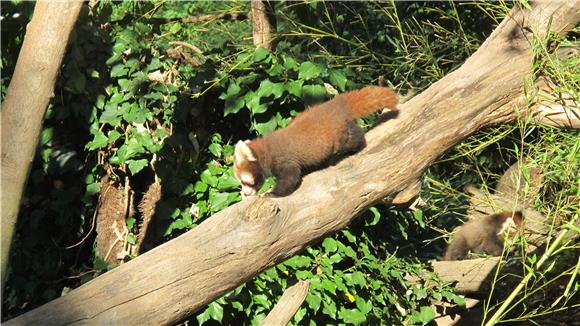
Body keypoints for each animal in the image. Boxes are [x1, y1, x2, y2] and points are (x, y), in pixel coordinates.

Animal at [233, 86, 396, 196]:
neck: (266, 150)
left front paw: (272, 193)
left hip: (339, 134)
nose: (245, 193)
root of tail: (337, 104)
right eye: (241, 183)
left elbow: (290, 178)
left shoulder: (284, 160)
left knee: (353, 139)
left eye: (245, 182)